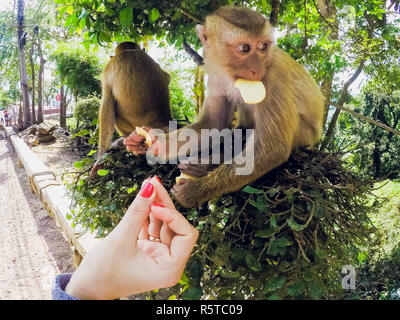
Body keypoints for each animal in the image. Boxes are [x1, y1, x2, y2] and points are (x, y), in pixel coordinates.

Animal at [125, 6, 324, 209]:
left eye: (263, 47)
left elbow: (272, 148)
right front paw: (158, 143)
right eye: (244, 48)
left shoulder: (275, 75)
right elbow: (214, 123)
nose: (257, 70)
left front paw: (194, 192)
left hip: (305, 135)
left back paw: (202, 168)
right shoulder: (215, 73)